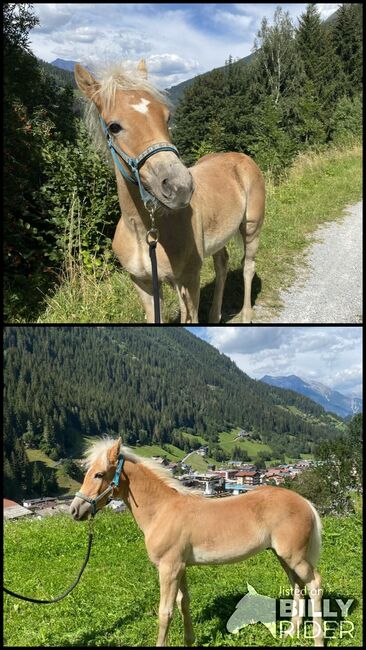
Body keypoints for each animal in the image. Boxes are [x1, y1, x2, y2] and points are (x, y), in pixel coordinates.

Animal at [71, 438, 324, 644]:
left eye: (99, 474)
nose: (75, 510)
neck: (162, 511)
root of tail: (305, 502)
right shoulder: (181, 567)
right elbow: (184, 603)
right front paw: (189, 640)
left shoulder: (169, 568)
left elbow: (165, 612)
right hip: (282, 556)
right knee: (297, 586)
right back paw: (291, 632)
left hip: (294, 557)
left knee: (315, 584)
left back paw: (317, 638)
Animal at [74, 59, 264, 322]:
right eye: (114, 127)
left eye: (167, 116)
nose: (179, 186)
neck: (144, 231)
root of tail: (242, 158)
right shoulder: (144, 284)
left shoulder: (189, 279)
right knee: (222, 264)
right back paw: (215, 315)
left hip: (251, 228)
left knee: (248, 266)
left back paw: (246, 315)